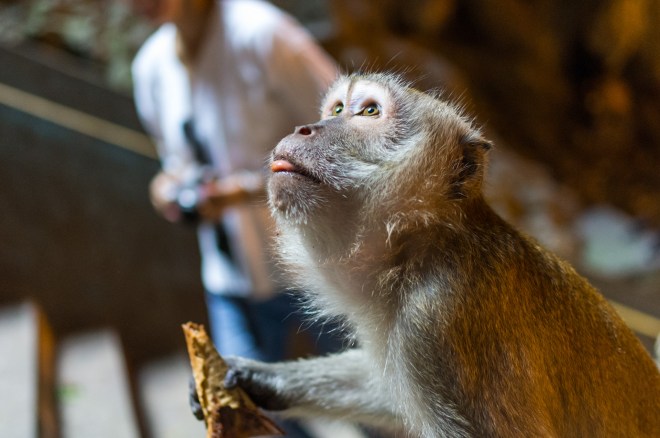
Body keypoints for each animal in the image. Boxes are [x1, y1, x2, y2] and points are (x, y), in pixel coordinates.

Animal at [219, 72, 660, 437]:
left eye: (370, 111)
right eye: (338, 109)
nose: (303, 128)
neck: (423, 249)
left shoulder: (437, 322)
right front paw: (258, 377)